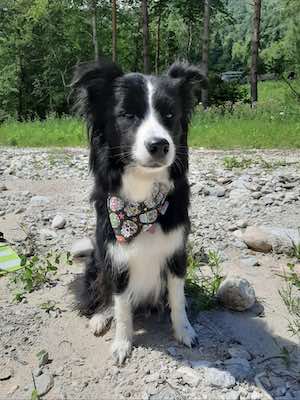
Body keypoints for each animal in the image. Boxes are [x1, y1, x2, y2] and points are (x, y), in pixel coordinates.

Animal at [73, 60, 206, 366]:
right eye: (127, 114)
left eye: (170, 114)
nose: (160, 145)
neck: (142, 206)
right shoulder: (116, 258)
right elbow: (121, 305)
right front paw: (122, 344)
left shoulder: (176, 252)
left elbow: (177, 298)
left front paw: (184, 331)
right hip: (97, 262)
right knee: (104, 295)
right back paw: (100, 317)